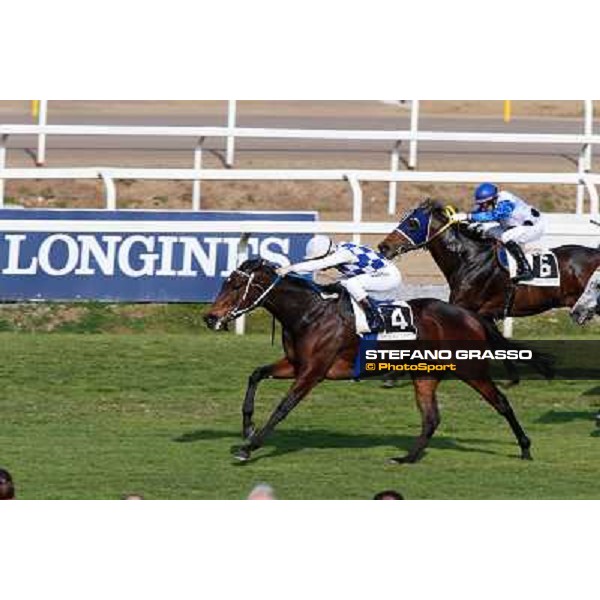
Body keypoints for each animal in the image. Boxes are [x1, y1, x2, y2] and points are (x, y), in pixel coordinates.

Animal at [204, 258, 552, 464]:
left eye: (237, 285)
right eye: (225, 282)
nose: (209, 318)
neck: (309, 312)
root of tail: (470, 315)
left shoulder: (313, 372)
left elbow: (282, 408)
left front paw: (249, 447)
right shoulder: (295, 364)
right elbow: (255, 374)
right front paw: (247, 427)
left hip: (471, 369)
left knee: (501, 402)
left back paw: (525, 447)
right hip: (425, 374)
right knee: (431, 418)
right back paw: (407, 458)